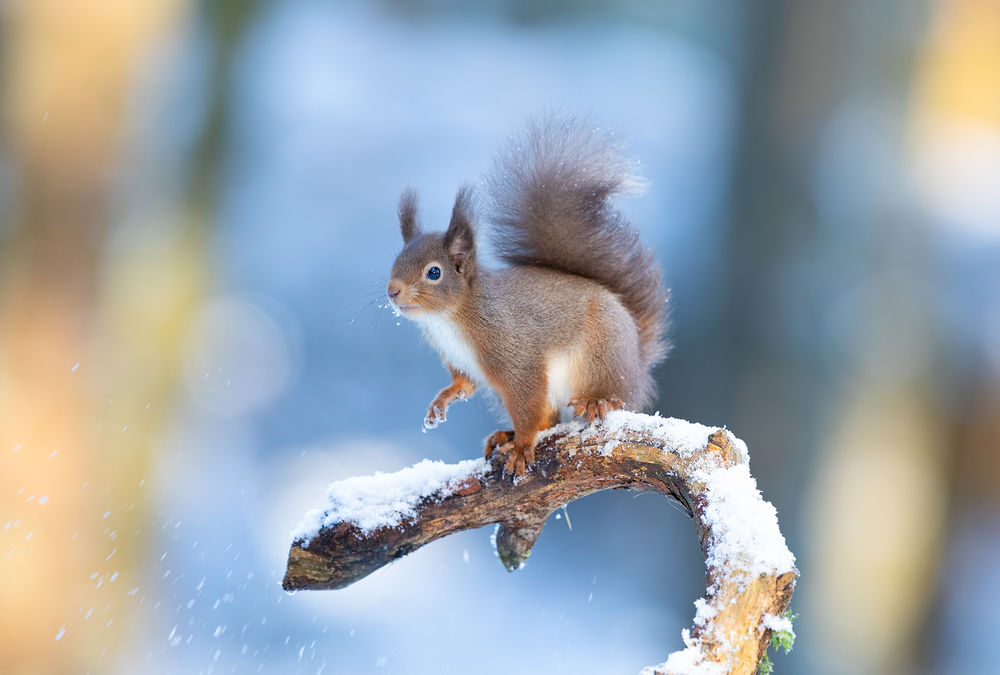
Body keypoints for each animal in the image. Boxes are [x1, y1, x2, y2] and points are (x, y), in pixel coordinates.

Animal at [386, 117, 668, 476]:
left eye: (434, 273)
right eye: (396, 261)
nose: (392, 291)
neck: (450, 319)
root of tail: (637, 365)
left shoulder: (515, 355)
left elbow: (526, 402)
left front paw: (521, 447)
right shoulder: (461, 362)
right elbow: (464, 385)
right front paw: (441, 401)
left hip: (601, 356)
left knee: (609, 398)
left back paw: (595, 401)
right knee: (550, 418)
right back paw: (505, 434)